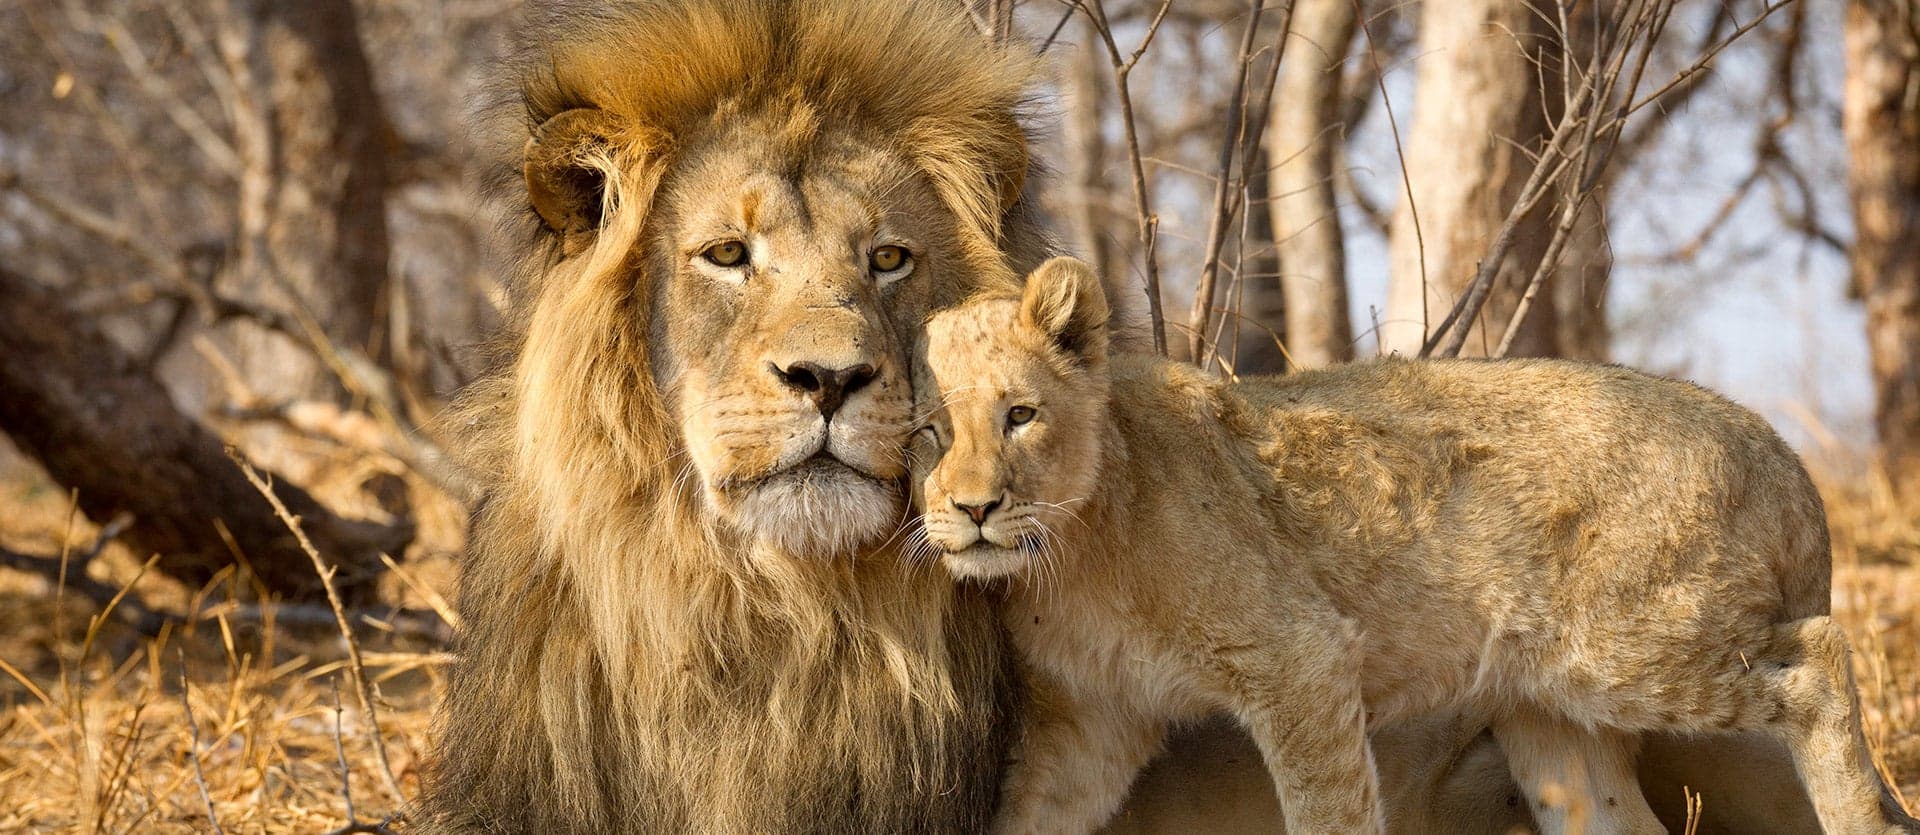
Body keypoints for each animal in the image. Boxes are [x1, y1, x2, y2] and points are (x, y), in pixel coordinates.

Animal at [908, 257, 1918, 835]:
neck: (1067, 557)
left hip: (1629, 642)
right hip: (1551, 712)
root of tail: (1783, 457)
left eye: (1019, 414)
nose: (975, 508)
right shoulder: (1091, 721)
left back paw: (1861, 819)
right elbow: (1028, 815)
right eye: (926, 431)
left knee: (1821, 658)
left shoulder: (1300, 658)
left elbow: (1329, 811)